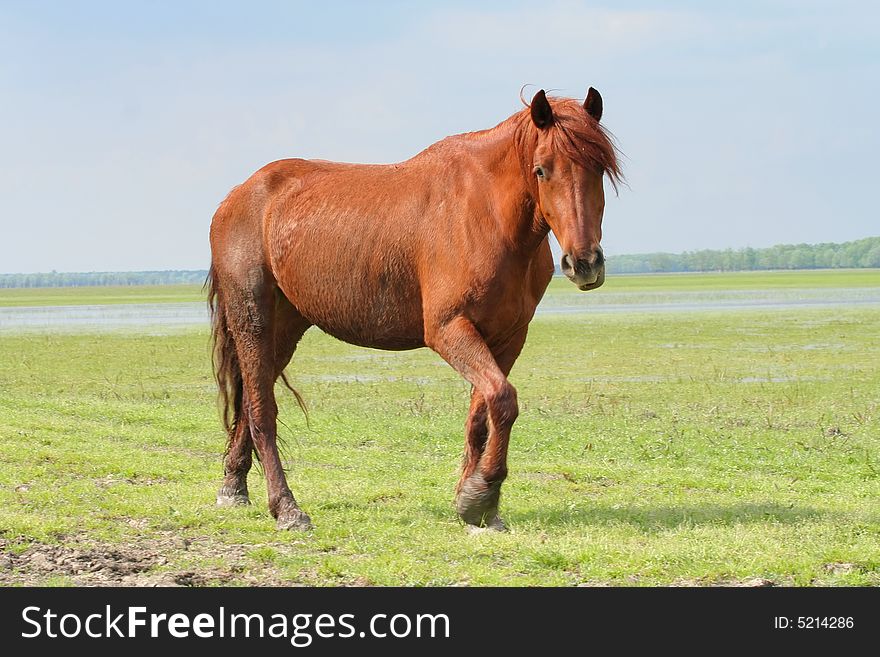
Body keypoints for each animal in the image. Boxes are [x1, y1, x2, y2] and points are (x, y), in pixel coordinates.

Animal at [207, 87, 624, 532]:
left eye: (599, 169)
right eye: (542, 170)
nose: (584, 263)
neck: (487, 214)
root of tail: (237, 196)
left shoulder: (507, 337)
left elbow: (483, 412)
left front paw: (474, 502)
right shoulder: (449, 329)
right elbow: (503, 399)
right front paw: (482, 493)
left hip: (285, 327)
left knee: (252, 399)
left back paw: (233, 486)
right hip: (252, 318)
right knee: (260, 409)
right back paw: (286, 508)